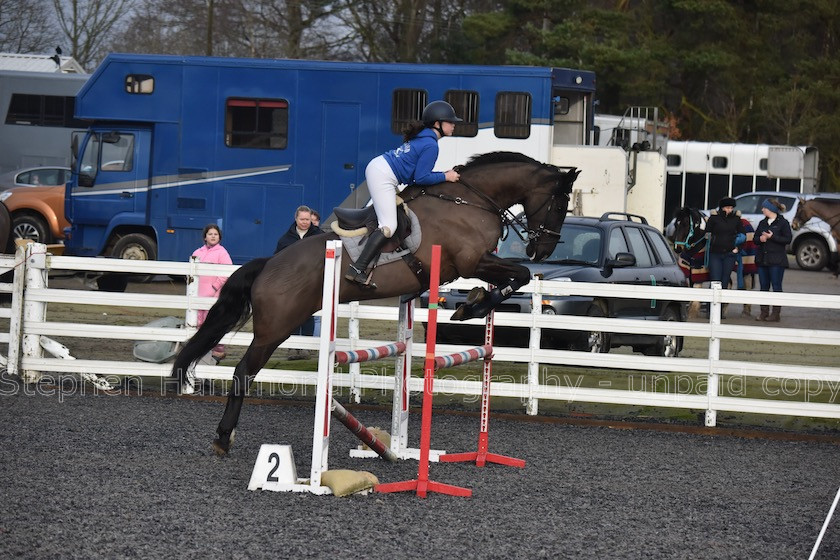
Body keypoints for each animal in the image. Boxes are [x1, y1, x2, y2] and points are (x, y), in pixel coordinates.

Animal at [170, 152, 576, 456]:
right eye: (561, 203)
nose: (542, 250)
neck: (472, 200)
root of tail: (269, 263)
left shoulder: (475, 264)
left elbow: (515, 277)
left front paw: (474, 301)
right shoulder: (470, 261)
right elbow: (519, 275)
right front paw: (473, 306)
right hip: (276, 328)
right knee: (243, 372)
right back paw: (223, 438)